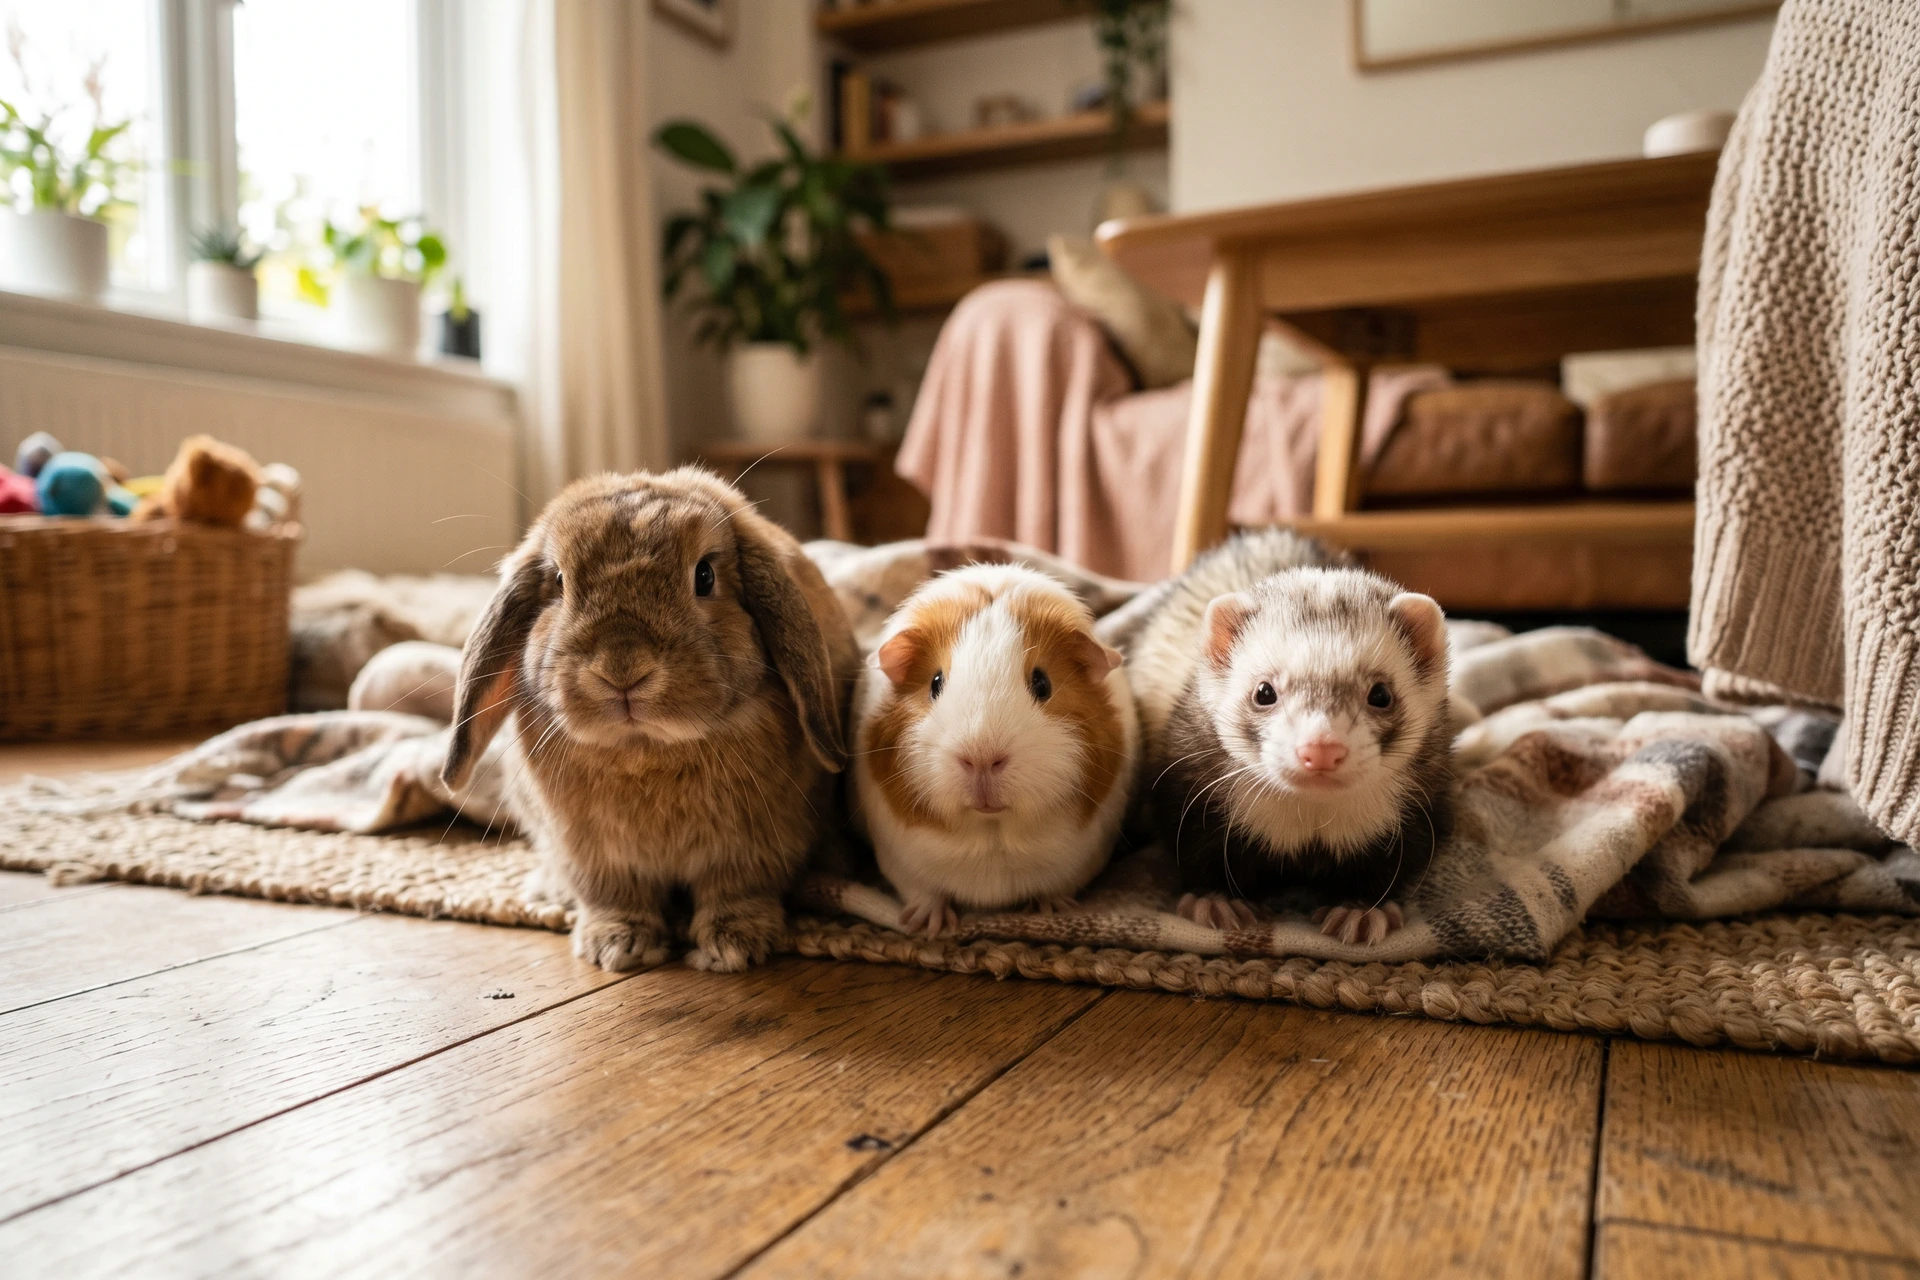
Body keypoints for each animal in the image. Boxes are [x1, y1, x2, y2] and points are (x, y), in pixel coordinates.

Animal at [441, 467, 860, 973]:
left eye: (705, 575)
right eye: (559, 582)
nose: (622, 669)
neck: (645, 748)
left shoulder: (755, 846)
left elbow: (738, 892)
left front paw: (733, 946)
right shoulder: (596, 857)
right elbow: (615, 897)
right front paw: (614, 946)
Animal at [850, 564, 1139, 937]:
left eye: (1042, 683)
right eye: (935, 682)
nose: (982, 758)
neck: (991, 833)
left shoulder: (1083, 858)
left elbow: (1059, 887)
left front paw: (1053, 910)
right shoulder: (901, 861)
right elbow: (924, 892)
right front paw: (926, 925)